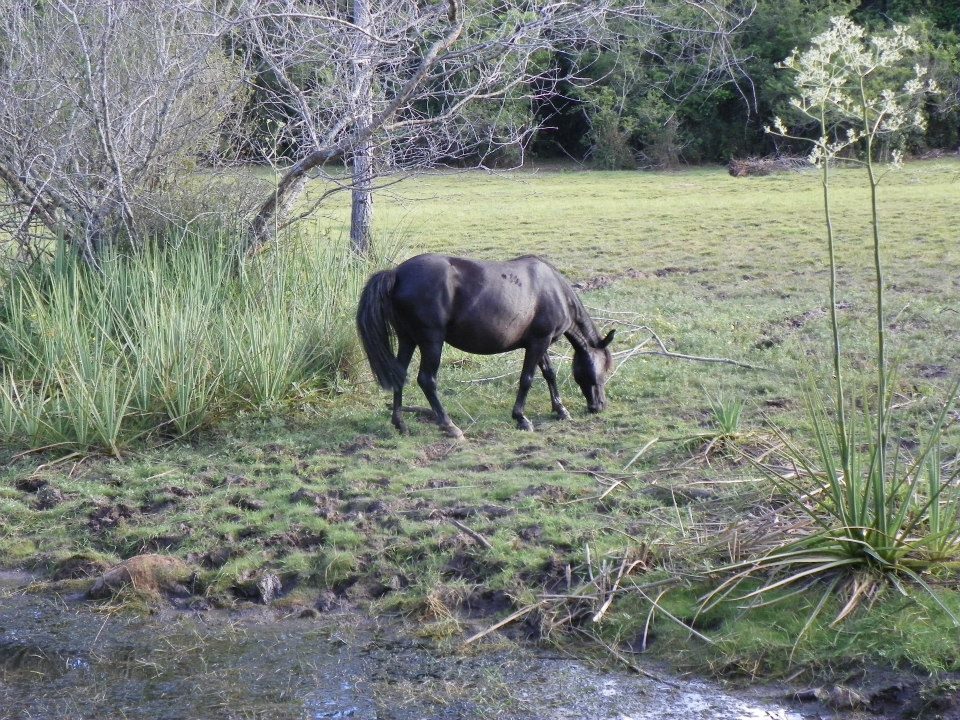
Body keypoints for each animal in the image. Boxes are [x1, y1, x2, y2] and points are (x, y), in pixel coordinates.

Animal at [356, 253, 615, 439]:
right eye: (603, 370)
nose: (599, 405)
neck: (555, 290)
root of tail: (397, 273)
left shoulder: (538, 342)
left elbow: (549, 374)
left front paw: (560, 410)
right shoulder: (539, 342)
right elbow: (527, 379)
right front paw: (521, 418)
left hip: (407, 339)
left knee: (399, 375)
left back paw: (400, 424)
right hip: (431, 342)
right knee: (427, 380)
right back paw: (450, 426)